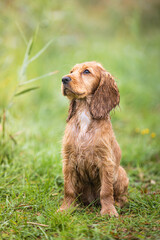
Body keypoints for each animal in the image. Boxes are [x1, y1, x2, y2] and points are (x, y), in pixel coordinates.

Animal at [58, 61, 129, 217]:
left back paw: (117, 204)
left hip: (121, 173)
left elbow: (106, 191)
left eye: (86, 71)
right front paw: (66, 209)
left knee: (122, 197)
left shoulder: (106, 161)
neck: (84, 113)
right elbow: (68, 189)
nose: (64, 79)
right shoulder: (68, 159)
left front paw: (108, 211)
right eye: (71, 71)